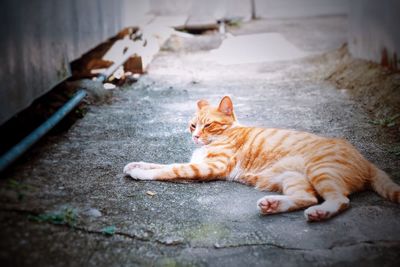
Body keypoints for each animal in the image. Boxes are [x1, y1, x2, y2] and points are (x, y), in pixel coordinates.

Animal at [123, 96, 398, 222]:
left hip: (320, 170)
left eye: (208, 125)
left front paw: (141, 172)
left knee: (339, 200)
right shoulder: (197, 163)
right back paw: (272, 205)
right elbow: (162, 163)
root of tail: (366, 160)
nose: (196, 137)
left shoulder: (207, 167)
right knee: (306, 197)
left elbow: (169, 169)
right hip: (293, 178)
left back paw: (320, 212)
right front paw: (136, 164)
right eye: (192, 125)